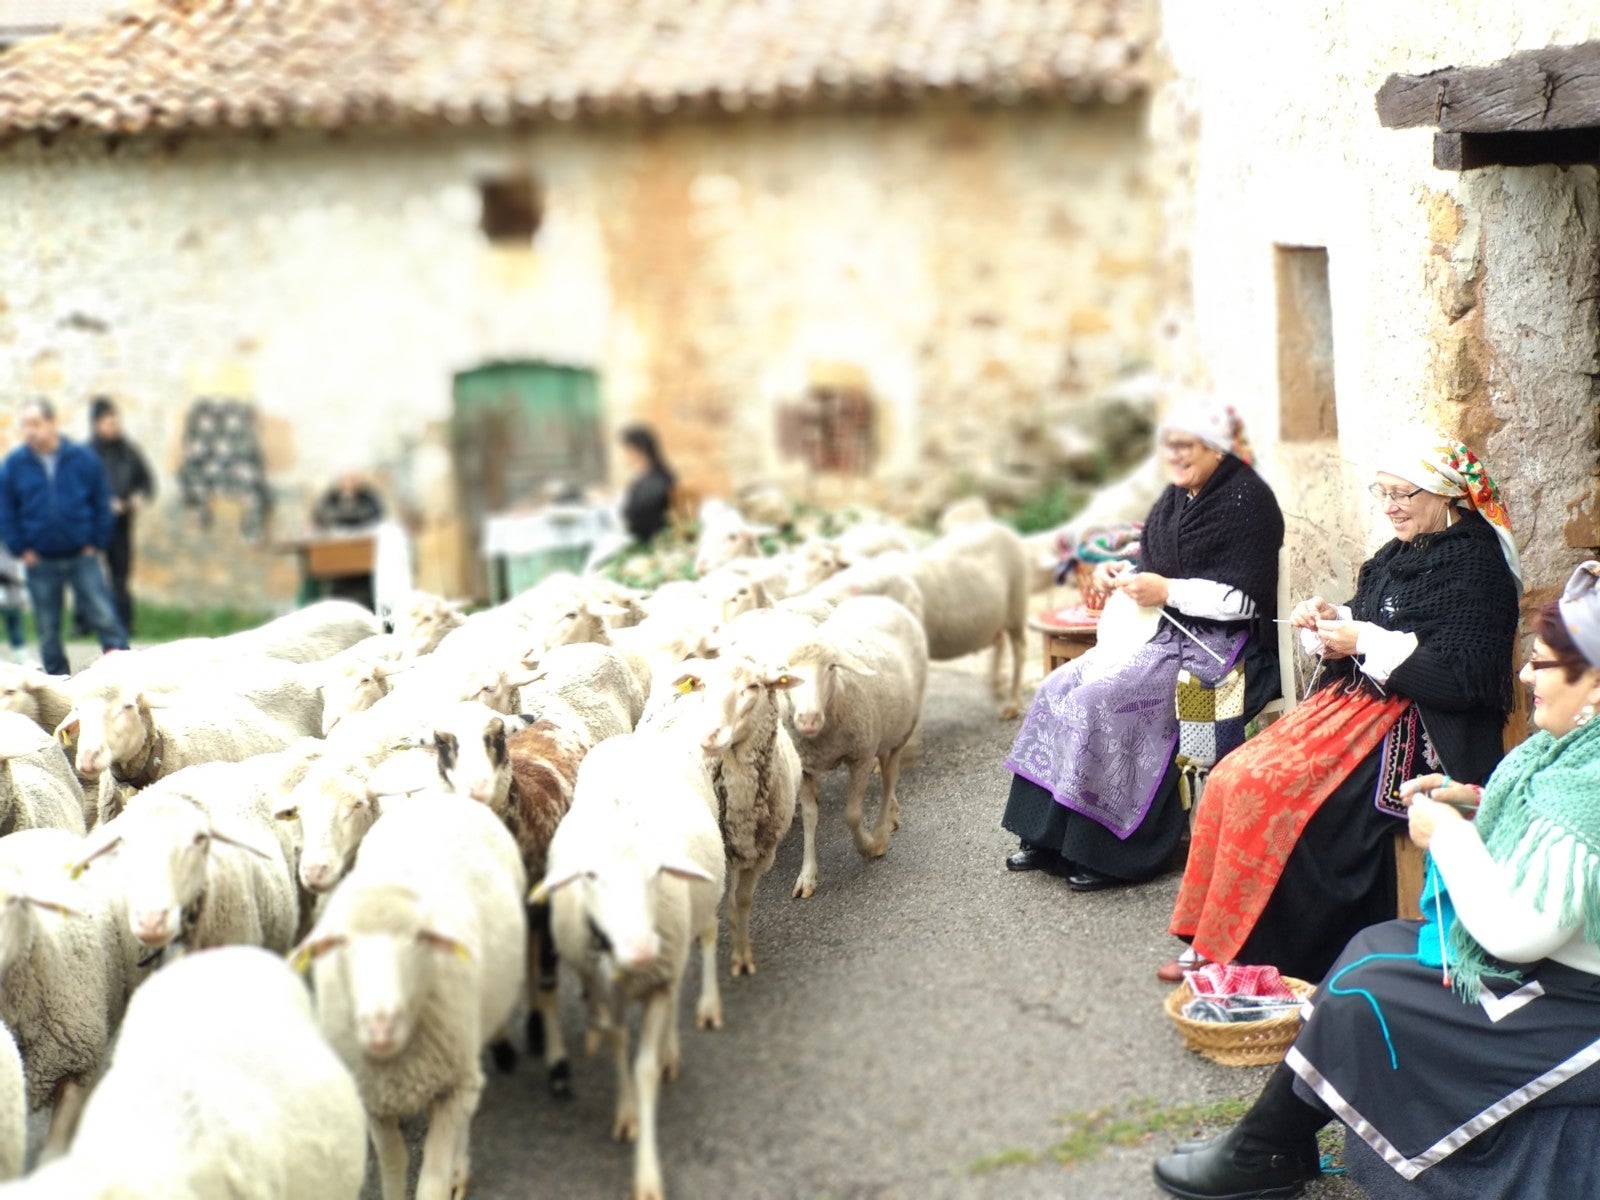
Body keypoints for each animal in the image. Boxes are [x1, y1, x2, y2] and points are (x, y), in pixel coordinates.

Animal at [294, 800, 524, 1200]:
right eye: (341, 942)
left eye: (420, 938)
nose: (380, 1024)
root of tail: (440, 798)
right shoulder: (372, 1098)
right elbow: (392, 1165)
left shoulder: (452, 1086)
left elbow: (431, 1182)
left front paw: (448, 1175)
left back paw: (459, 1169)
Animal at [540, 732, 729, 1200]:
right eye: (589, 876)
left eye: (659, 870)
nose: (642, 950)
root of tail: (638, 735)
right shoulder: (609, 992)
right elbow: (616, 1045)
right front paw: (626, 1113)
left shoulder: (658, 984)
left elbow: (644, 1070)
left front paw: (646, 1173)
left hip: (702, 907)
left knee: (704, 945)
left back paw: (698, 1018)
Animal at [780, 598, 934, 896]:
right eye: (785, 675)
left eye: (831, 667)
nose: (807, 719)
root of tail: (880, 599)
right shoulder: (805, 767)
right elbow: (809, 818)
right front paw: (807, 876)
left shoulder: (861, 758)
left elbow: (851, 815)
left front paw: (868, 846)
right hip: (883, 728)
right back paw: (891, 815)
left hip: (902, 729)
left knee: (889, 779)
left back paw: (882, 830)